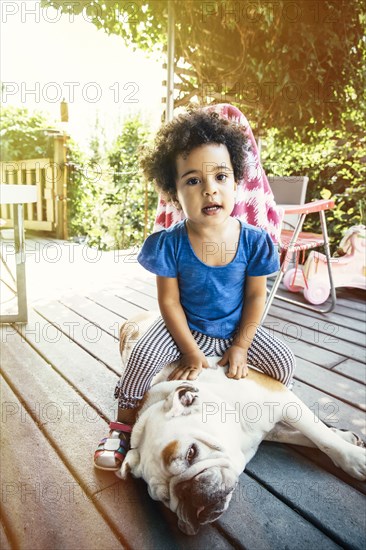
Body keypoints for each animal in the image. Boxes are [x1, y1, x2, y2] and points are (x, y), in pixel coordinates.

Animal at [118, 316, 364, 536]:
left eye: (191, 453)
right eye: (164, 498)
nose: (188, 494)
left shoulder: (282, 399)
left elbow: (321, 436)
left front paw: (354, 458)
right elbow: (300, 434)